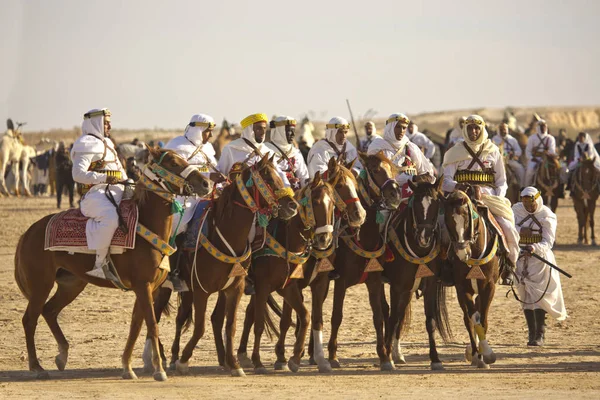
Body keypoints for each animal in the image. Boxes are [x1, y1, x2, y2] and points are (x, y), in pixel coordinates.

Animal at [12, 148, 213, 382]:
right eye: (172, 162)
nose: (206, 183)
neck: (145, 227)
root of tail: (27, 233)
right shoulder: (143, 286)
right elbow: (151, 325)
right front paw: (159, 370)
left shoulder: (149, 288)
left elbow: (136, 325)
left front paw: (127, 367)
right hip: (40, 285)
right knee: (29, 319)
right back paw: (37, 367)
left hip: (71, 284)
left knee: (50, 311)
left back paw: (62, 355)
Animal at [169, 155, 298, 376]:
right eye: (269, 178)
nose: (292, 205)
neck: (225, 234)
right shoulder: (201, 290)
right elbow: (200, 327)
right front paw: (184, 360)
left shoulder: (234, 289)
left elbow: (230, 326)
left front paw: (235, 364)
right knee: (174, 317)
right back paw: (170, 358)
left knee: (203, 318)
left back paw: (222, 359)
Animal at [233, 173, 336, 376]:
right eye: (316, 202)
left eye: (333, 204)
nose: (325, 239)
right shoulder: (265, 286)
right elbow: (261, 324)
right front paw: (261, 361)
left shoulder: (293, 286)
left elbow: (307, 317)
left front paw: (297, 358)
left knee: (249, 313)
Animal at [384, 180, 450, 370]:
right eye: (416, 206)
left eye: (436, 204)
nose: (424, 237)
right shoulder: (396, 287)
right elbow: (392, 318)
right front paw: (387, 358)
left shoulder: (429, 286)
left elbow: (430, 321)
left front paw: (435, 359)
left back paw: (397, 353)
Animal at [446, 191, 502, 368]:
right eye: (449, 220)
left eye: (467, 219)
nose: (461, 253)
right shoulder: (462, 288)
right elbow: (472, 319)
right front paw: (479, 355)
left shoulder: (489, 287)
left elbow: (483, 320)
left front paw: (487, 354)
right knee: (469, 317)